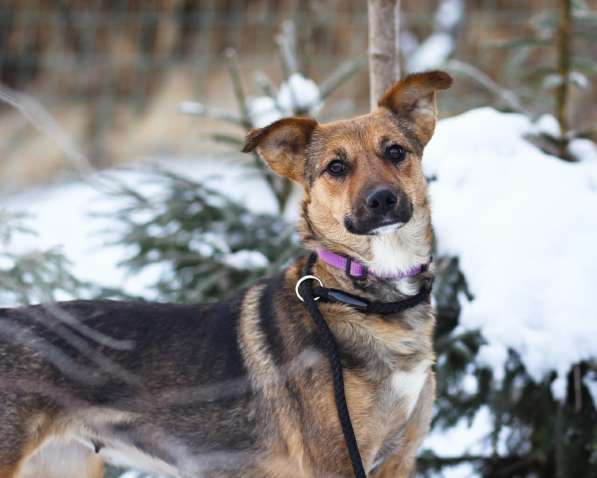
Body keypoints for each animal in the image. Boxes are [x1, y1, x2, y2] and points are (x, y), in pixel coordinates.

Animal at [0, 70, 448, 478]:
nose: (383, 200)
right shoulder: (335, 460)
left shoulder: (399, 458)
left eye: (395, 152)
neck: (366, 299)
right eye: (336, 167)